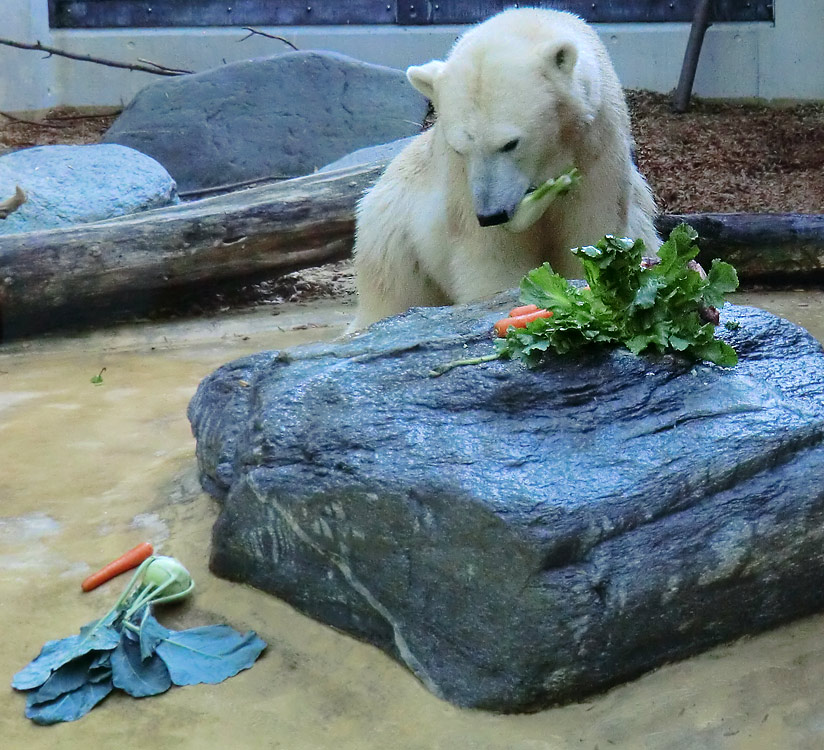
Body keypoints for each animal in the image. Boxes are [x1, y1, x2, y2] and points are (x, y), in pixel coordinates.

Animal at [350, 5, 660, 328]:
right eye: (460, 148)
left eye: (510, 143)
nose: (491, 215)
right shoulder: (462, 187)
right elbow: (491, 258)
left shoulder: (596, 150)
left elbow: (590, 232)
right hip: (393, 233)